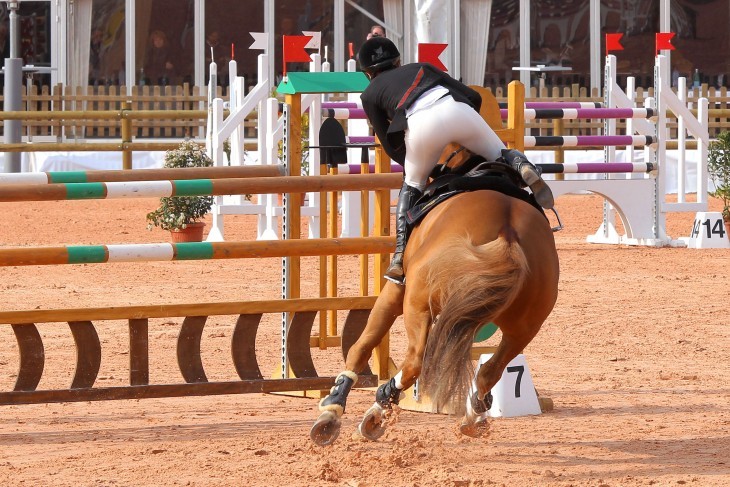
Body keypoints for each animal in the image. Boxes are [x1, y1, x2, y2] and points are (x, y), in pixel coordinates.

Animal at [308, 148, 556, 446]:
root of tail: (508, 234)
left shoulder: (396, 290)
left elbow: (362, 344)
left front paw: (332, 410)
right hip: (524, 329)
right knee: (488, 372)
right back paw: (471, 419)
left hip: (418, 305)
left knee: (416, 361)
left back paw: (377, 409)